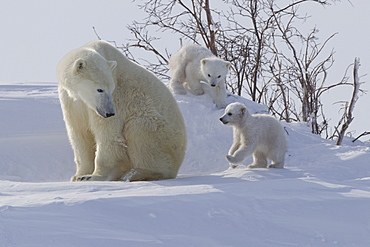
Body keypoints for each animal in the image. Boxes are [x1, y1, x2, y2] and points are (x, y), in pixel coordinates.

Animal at [57, 41, 188, 181]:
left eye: (111, 89)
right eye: (100, 89)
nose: (109, 113)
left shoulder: (118, 98)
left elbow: (109, 134)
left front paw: (93, 176)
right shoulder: (72, 101)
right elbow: (79, 133)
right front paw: (79, 175)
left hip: (165, 136)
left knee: (138, 129)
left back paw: (135, 173)